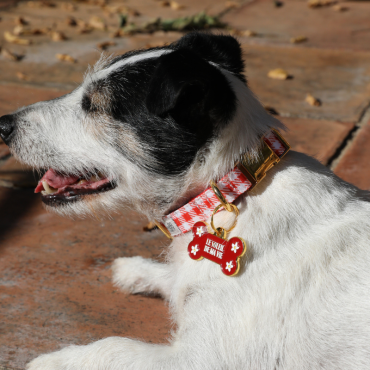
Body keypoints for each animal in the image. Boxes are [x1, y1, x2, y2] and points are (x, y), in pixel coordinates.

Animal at [0, 32, 370, 370]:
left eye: (94, 105)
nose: (3, 124)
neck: (228, 189)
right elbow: (175, 280)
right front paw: (137, 269)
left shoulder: (198, 359)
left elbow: (114, 346)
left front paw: (54, 361)